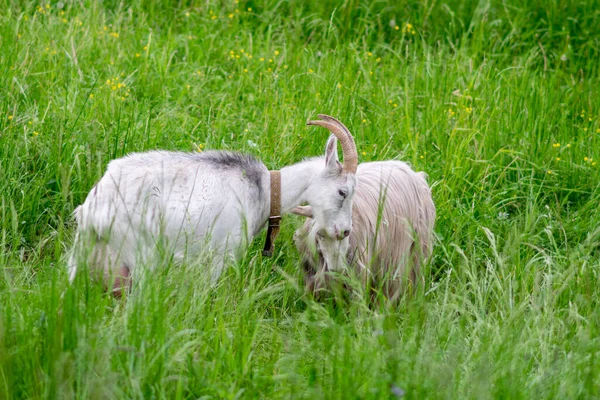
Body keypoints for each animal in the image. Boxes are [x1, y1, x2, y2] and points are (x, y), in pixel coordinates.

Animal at [68, 114, 358, 296]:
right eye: (343, 191)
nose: (345, 231)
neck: (265, 190)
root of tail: (93, 208)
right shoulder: (221, 255)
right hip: (140, 254)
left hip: (83, 254)